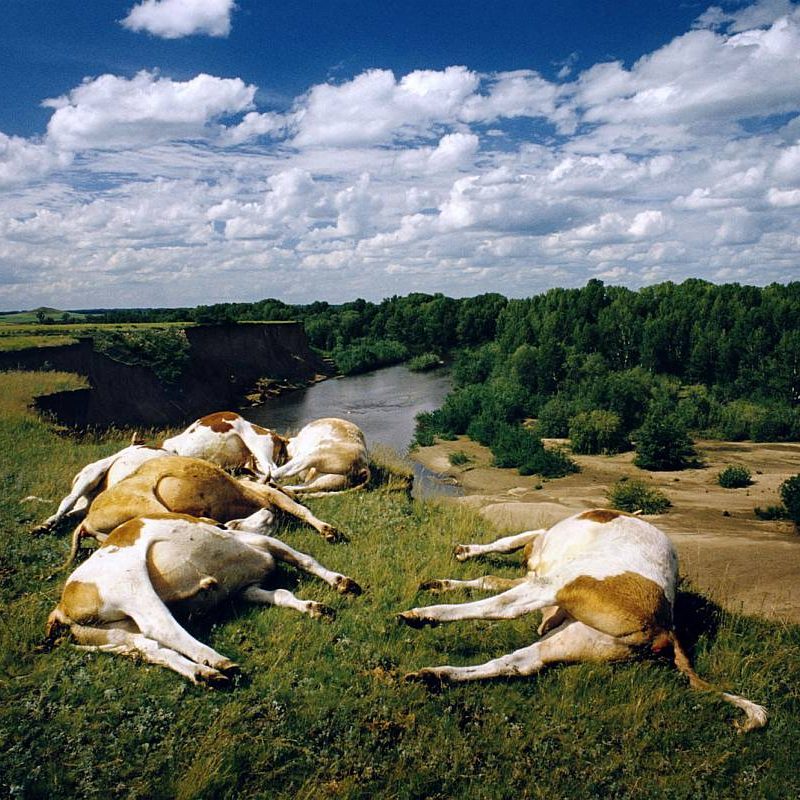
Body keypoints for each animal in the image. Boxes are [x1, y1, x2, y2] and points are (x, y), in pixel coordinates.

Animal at [45, 510, 364, 684]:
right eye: (235, 521)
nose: (267, 511)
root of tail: (61, 606)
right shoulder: (263, 541)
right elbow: (305, 559)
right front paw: (341, 582)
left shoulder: (245, 589)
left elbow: (282, 594)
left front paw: (313, 607)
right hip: (132, 584)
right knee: (162, 628)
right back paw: (218, 661)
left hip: (116, 632)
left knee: (150, 648)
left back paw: (204, 675)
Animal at [396, 510, 764, 736]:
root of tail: (666, 629)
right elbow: (490, 575)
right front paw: (446, 578)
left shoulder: (537, 554)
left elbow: (502, 549)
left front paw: (462, 557)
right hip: (576, 637)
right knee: (517, 663)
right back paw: (435, 675)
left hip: (561, 584)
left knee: (501, 609)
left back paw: (425, 615)